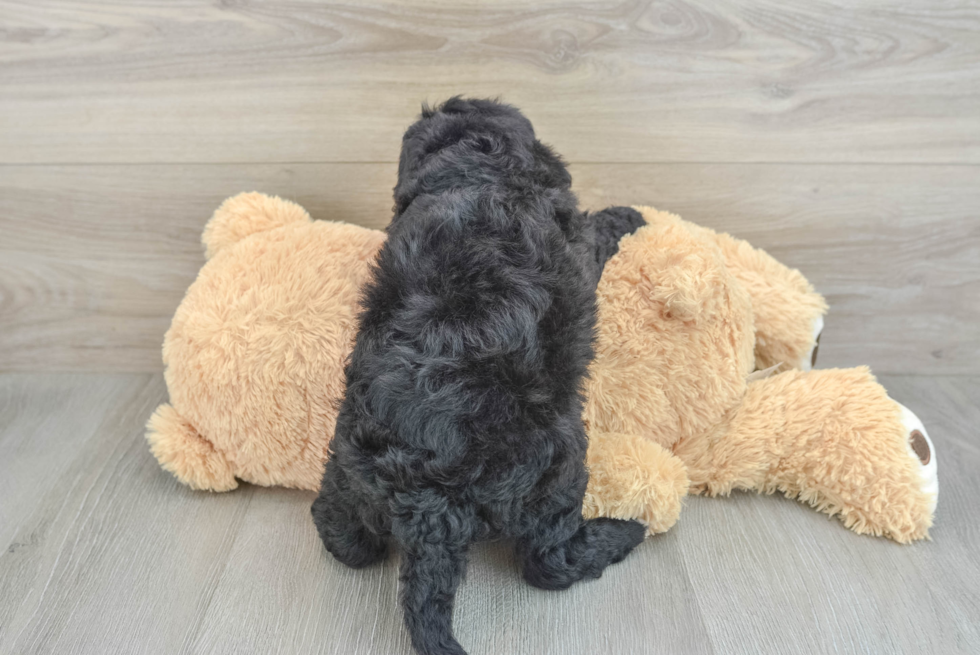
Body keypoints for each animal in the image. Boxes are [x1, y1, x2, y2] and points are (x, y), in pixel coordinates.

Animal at [314, 98, 648, 655]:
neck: (476, 169)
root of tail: (428, 506)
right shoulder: (577, 241)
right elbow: (595, 229)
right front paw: (627, 215)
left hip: (348, 469)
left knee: (345, 537)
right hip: (558, 470)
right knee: (549, 562)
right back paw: (624, 533)